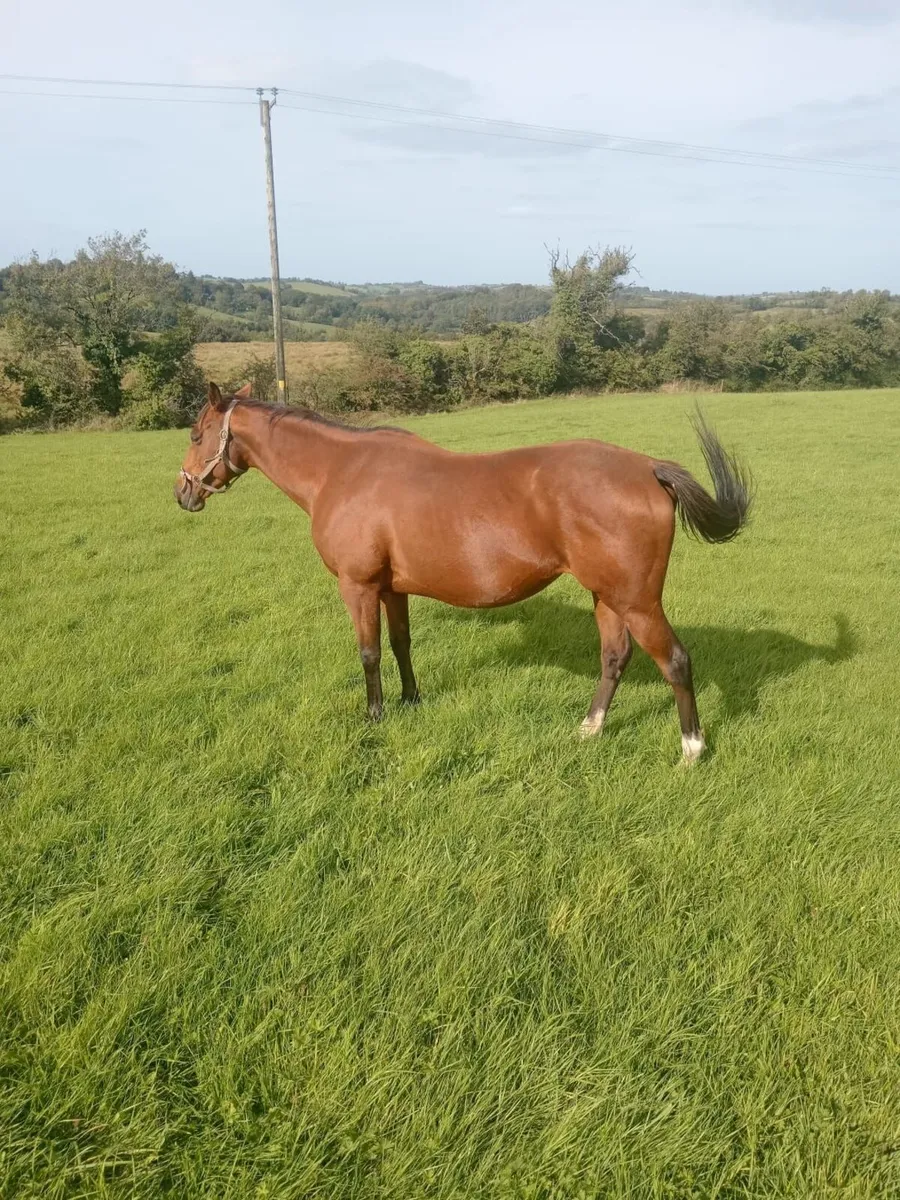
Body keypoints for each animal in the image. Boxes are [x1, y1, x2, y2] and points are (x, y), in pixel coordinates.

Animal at [175, 383, 752, 763]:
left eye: (198, 433)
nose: (183, 493)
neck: (343, 471)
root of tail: (647, 468)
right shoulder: (391, 589)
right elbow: (401, 643)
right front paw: (410, 700)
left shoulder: (358, 586)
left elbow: (368, 652)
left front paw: (374, 716)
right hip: (607, 595)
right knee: (615, 657)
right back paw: (589, 730)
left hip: (637, 600)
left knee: (675, 661)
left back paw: (691, 748)